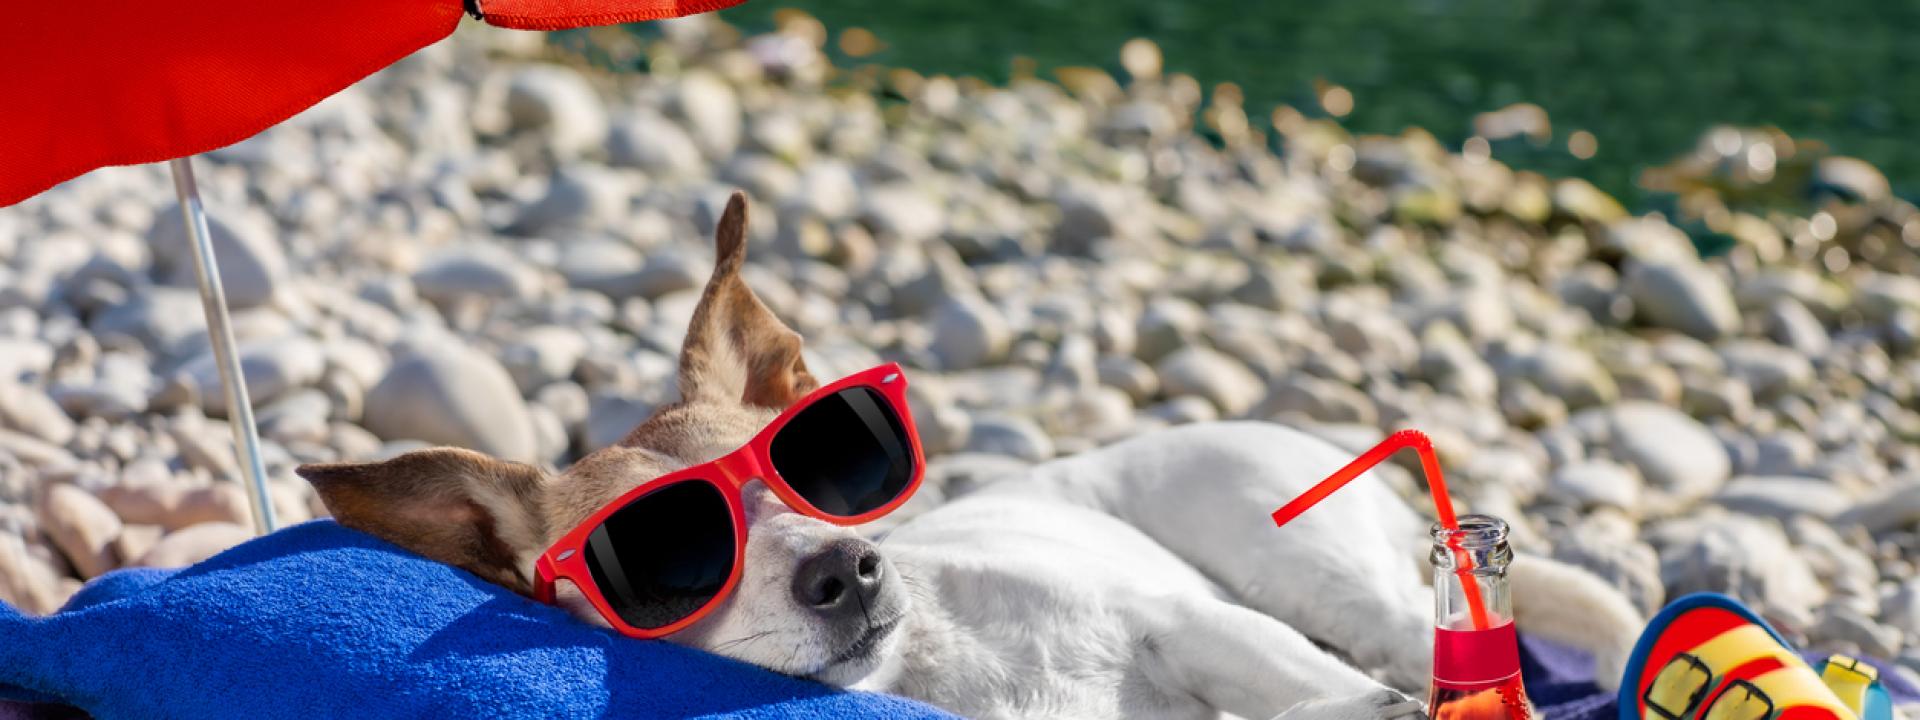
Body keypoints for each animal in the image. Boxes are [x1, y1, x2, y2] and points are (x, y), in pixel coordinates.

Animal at [295, 192, 1635, 720]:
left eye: (804, 468)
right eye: (669, 559)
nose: (847, 572)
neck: (948, 671)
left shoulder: (1183, 619)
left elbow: (1289, 680)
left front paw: (1351, 705)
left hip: (1302, 559)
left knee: (1409, 634)